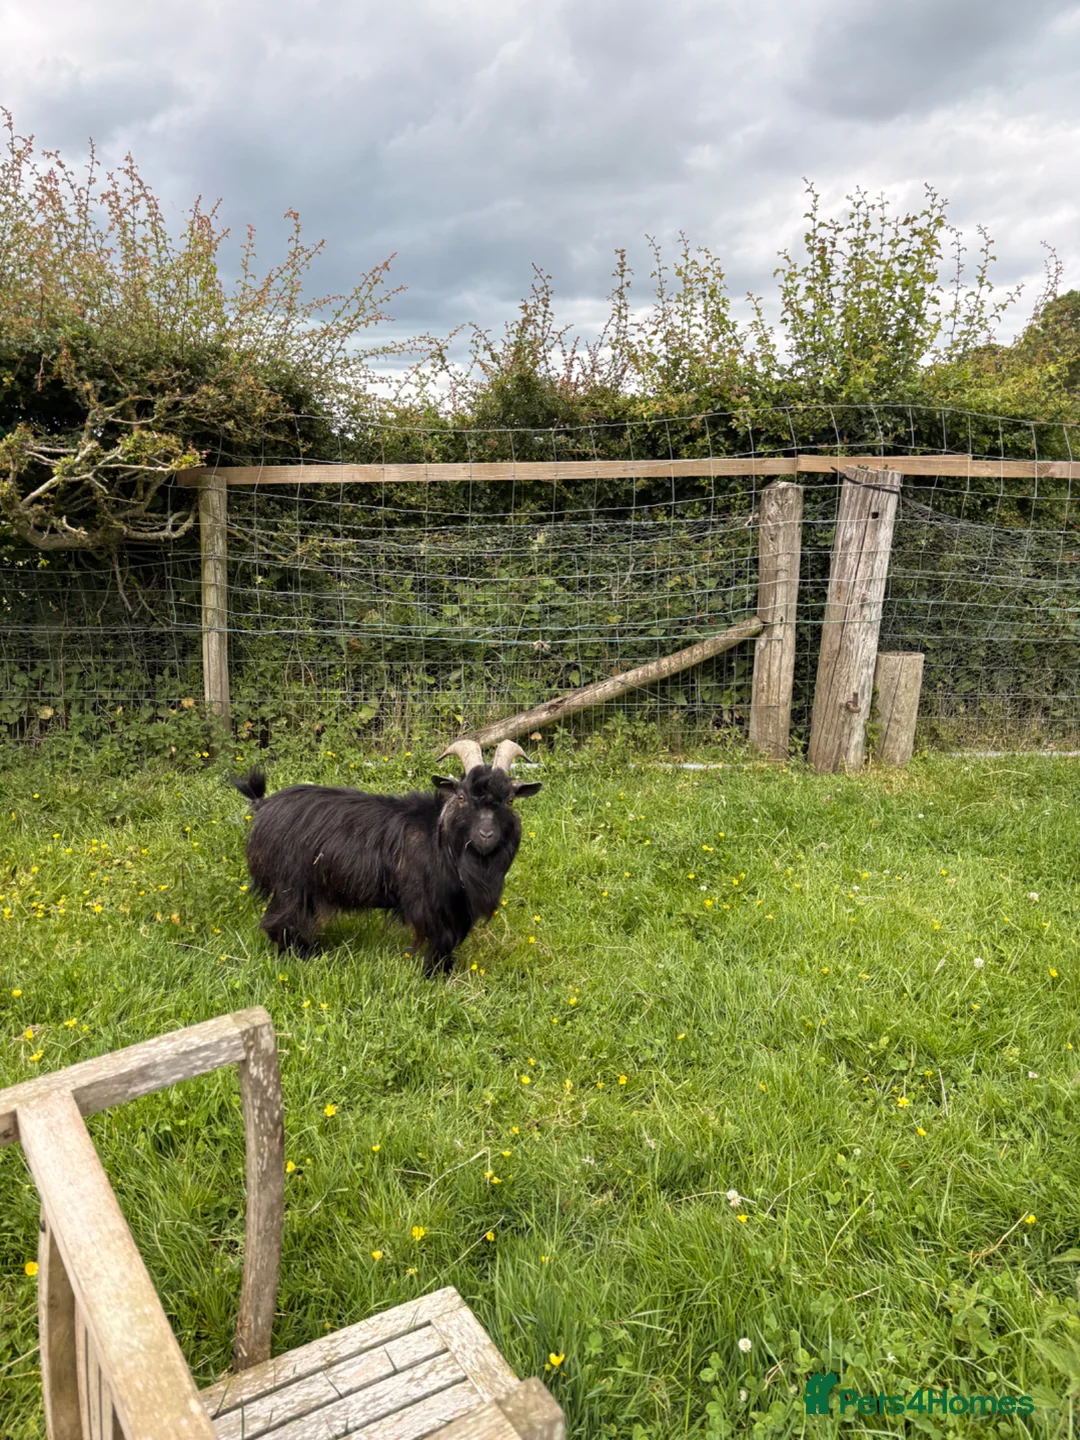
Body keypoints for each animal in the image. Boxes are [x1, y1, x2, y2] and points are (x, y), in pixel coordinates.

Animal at [229, 739, 541, 972]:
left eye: (510, 800)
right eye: (462, 797)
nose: (486, 835)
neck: (439, 837)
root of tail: (262, 805)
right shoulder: (432, 903)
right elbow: (441, 940)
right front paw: (434, 975)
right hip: (291, 885)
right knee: (277, 922)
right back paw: (304, 956)